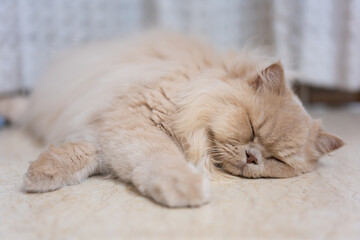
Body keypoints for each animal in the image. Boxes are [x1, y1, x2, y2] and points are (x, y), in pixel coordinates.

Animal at [0, 32, 344, 207]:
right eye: (251, 127)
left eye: (275, 159)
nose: (251, 156)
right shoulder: (134, 120)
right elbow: (161, 158)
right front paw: (187, 187)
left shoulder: (109, 131)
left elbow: (81, 156)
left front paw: (40, 174)